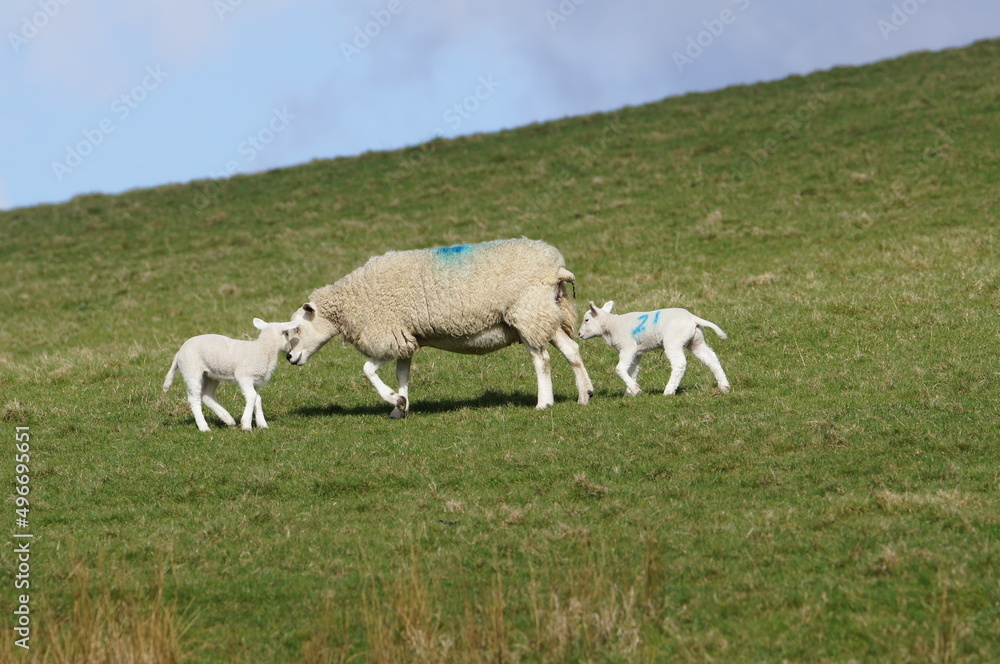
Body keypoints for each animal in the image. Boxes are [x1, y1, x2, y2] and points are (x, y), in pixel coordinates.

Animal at [163, 318, 300, 431]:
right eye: (287, 334)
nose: (289, 351)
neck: (263, 349)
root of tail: (179, 352)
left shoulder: (255, 381)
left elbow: (258, 399)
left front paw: (262, 424)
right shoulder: (244, 376)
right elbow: (252, 396)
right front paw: (246, 425)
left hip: (211, 374)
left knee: (207, 395)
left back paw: (228, 419)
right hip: (191, 370)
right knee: (194, 398)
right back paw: (203, 426)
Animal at [286, 238, 594, 417]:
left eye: (297, 329)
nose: (289, 357)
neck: (352, 299)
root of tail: (556, 266)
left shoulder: (388, 335)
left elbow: (367, 370)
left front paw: (393, 399)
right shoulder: (405, 337)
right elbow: (402, 374)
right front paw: (401, 406)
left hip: (526, 312)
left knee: (542, 360)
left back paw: (544, 402)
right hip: (543, 313)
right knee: (572, 350)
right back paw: (585, 395)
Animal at [578, 301, 731, 396]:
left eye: (586, 320)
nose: (579, 334)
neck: (612, 324)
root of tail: (692, 318)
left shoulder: (628, 347)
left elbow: (620, 369)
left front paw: (635, 390)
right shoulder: (637, 352)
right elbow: (633, 370)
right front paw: (629, 392)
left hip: (673, 341)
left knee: (679, 364)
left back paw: (669, 390)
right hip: (695, 341)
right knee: (711, 358)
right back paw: (724, 386)